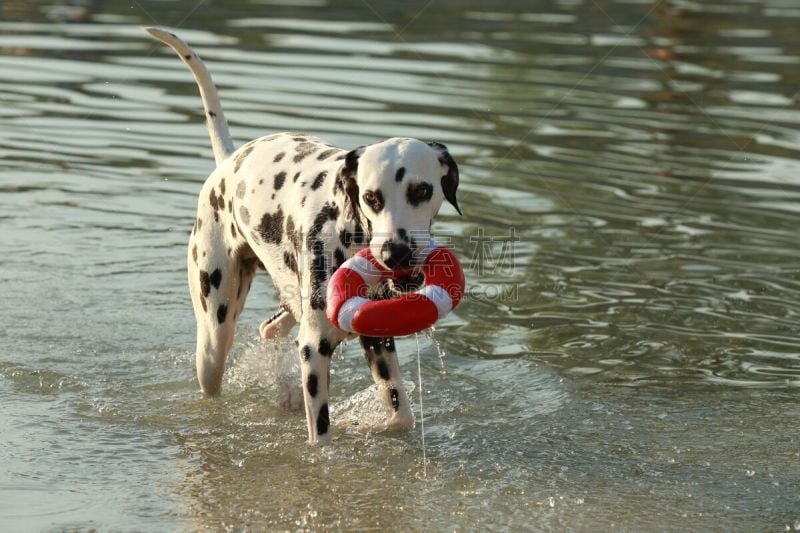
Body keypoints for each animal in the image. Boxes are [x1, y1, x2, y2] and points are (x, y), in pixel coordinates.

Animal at [146, 30, 460, 444]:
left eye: (421, 190)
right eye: (371, 197)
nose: (395, 253)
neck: (347, 224)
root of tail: (229, 160)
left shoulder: (376, 339)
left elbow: (401, 415)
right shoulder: (315, 347)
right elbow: (320, 438)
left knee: (270, 329)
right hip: (214, 334)